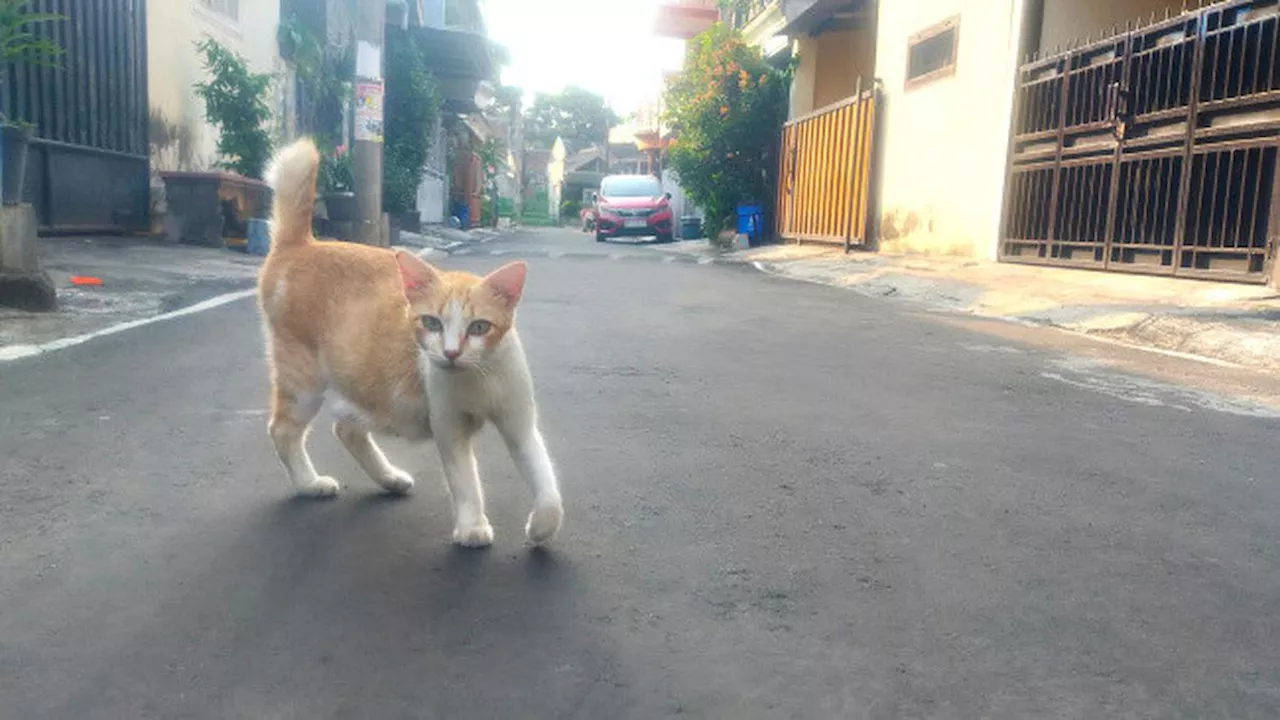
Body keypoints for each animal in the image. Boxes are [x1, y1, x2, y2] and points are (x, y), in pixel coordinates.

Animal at [257, 139, 563, 543]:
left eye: (479, 328)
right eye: (431, 322)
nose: (451, 352)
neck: (477, 378)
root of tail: (302, 244)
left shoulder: (519, 424)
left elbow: (545, 480)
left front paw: (542, 525)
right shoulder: (448, 428)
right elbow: (465, 480)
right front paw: (472, 526)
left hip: (376, 392)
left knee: (346, 427)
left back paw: (389, 478)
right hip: (305, 383)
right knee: (283, 430)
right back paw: (309, 483)